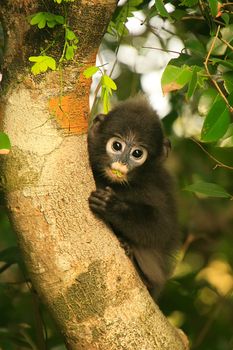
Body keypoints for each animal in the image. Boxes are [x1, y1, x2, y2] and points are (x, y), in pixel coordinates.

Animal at [87, 97, 180, 300]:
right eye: (117, 146)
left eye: (137, 153)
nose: (121, 163)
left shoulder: (156, 184)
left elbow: (161, 228)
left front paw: (112, 206)